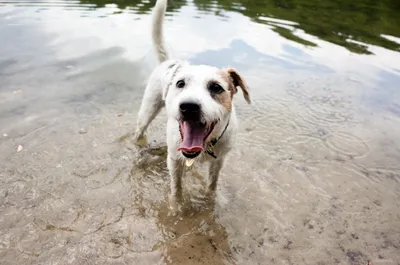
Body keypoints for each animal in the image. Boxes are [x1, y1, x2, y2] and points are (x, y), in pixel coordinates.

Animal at [134, 0, 250, 210]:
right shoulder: (174, 159)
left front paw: (211, 200)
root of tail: (169, 61)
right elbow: (176, 188)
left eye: (216, 87)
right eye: (180, 83)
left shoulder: (218, 162)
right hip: (148, 110)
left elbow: (212, 184)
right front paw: (176, 208)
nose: (188, 106)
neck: (206, 144)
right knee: (139, 132)